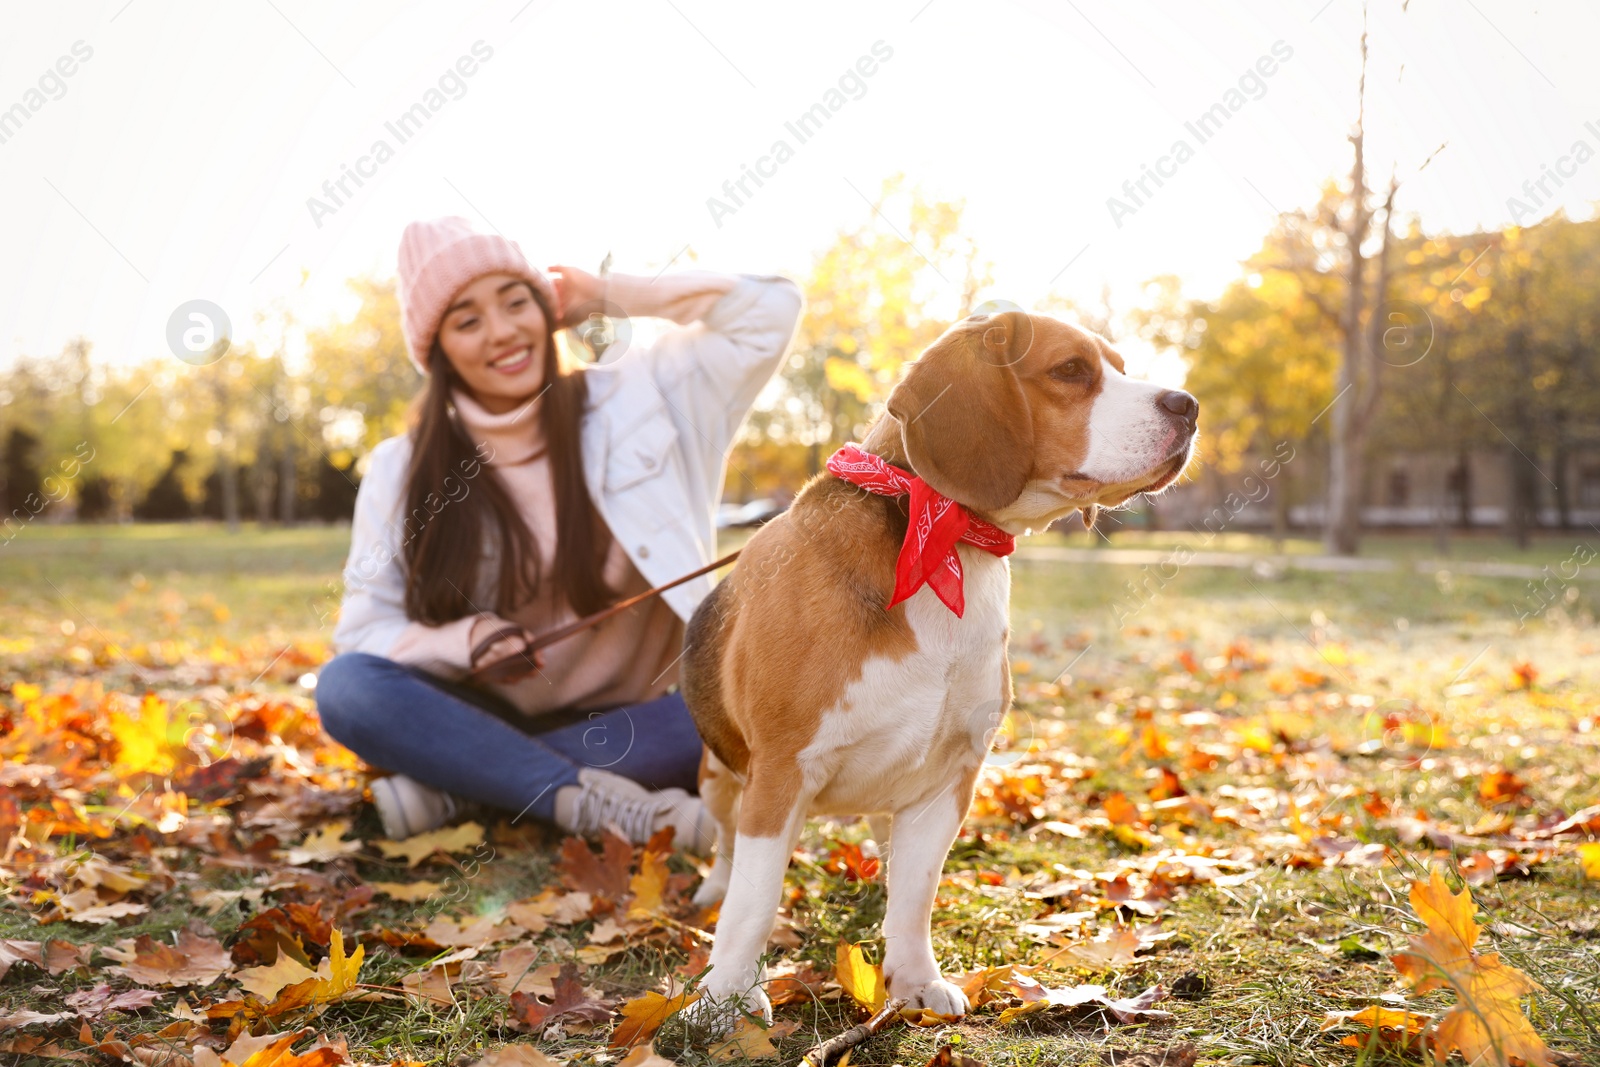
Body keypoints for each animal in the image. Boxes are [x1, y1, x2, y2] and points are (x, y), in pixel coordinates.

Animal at [681, 307, 1196, 1023]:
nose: (1190, 405)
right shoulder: (781, 772)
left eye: (1121, 366)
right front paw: (725, 998)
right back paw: (713, 891)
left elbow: (915, 895)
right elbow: (754, 900)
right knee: (728, 846)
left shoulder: (946, 776)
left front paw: (914, 981)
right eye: (1071, 370)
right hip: (719, 776)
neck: (944, 536)